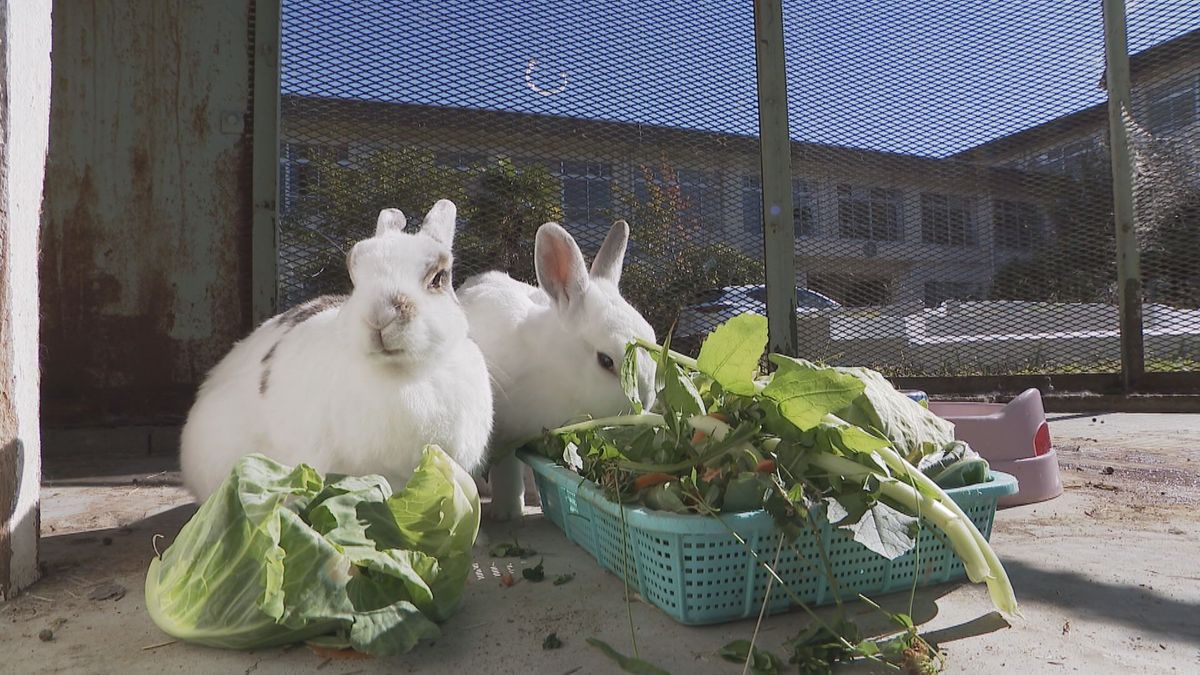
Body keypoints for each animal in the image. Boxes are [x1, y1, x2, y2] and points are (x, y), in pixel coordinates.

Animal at [458, 218, 657, 516]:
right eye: (606, 361)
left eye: (653, 337)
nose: (643, 404)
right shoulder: (502, 437)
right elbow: (506, 472)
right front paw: (508, 512)